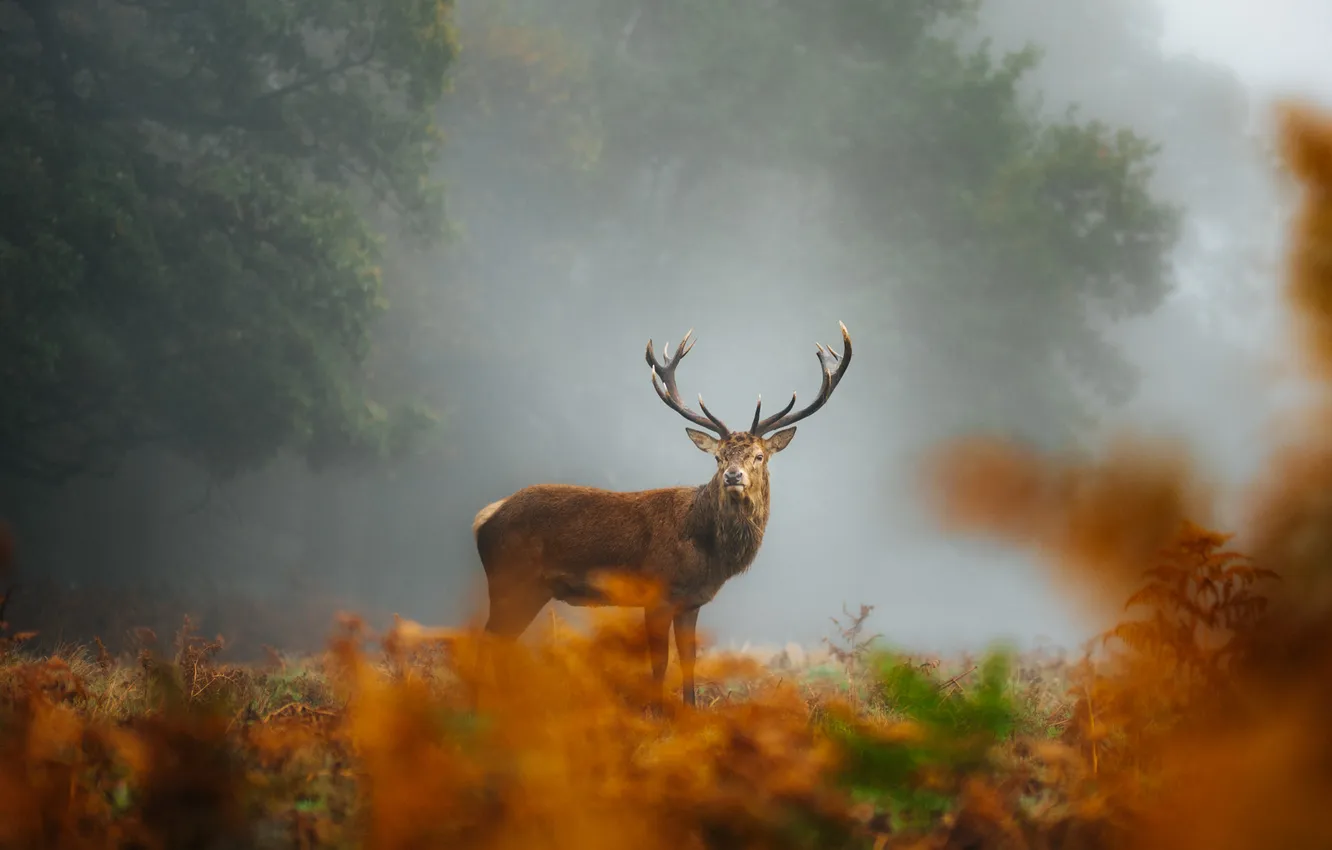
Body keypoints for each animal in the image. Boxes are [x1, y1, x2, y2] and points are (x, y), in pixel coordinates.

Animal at [471, 322, 853, 708]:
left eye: (759, 456)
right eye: (718, 457)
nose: (733, 476)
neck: (707, 552)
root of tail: (485, 517)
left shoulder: (691, 602)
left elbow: (689, 660)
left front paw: (689, 711)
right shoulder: (656, 593)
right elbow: (660, 662)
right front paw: (655, 712)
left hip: (528, 589)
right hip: (512, 580)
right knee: (486, 639)